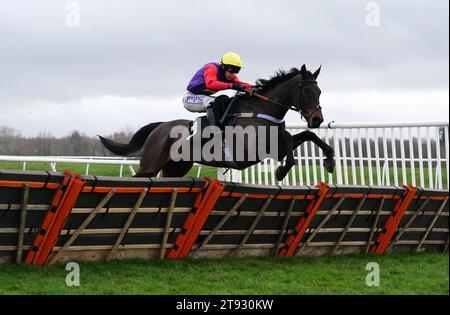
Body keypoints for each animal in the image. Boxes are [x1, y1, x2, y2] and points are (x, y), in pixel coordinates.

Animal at [99, 65, 338, 180]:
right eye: (306, 91)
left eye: (319, 91)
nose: (317, 119)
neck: (261, 110)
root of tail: (158, 127)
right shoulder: (250, 149)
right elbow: (288, 136)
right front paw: (281, 170)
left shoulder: (274, 147)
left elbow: (306, 135)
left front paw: (329, 161)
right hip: (151, 163)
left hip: (176, 167)